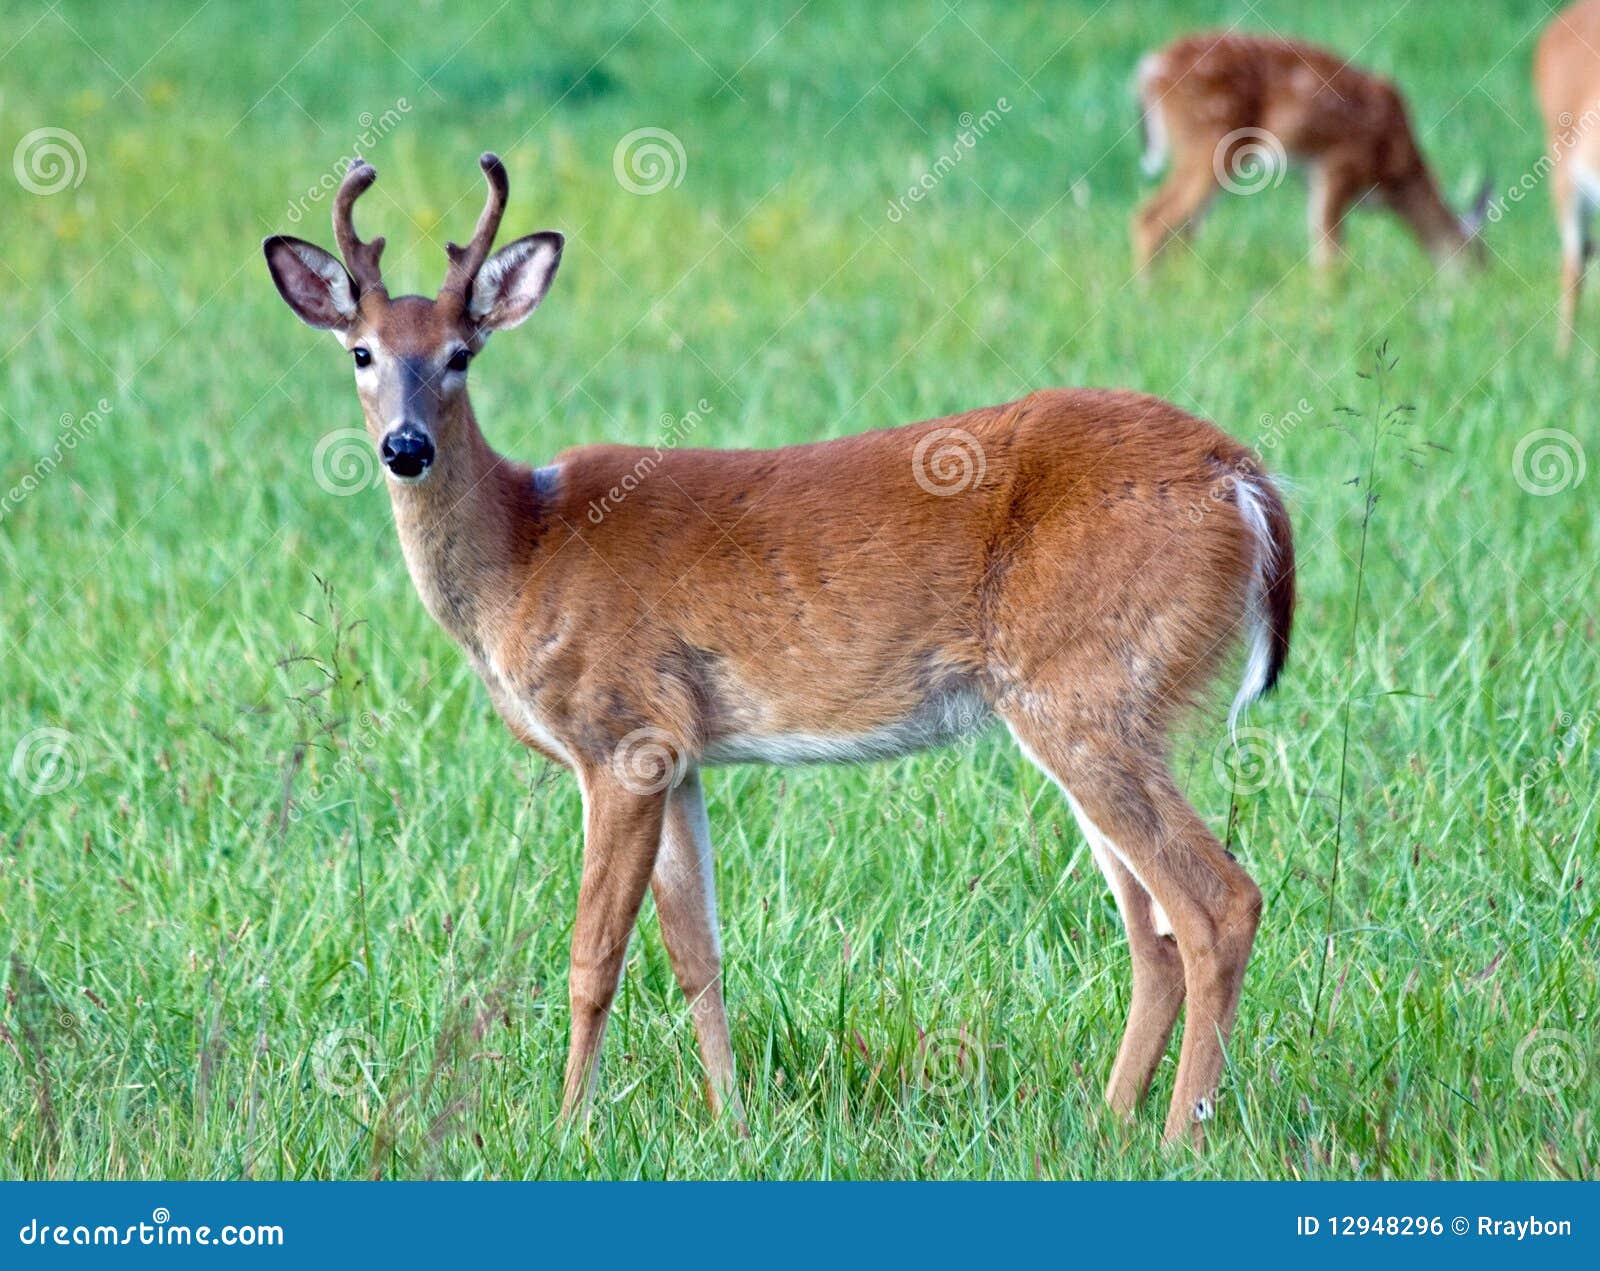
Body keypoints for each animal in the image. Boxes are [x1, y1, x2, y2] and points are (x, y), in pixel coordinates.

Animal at [263, 153, 1296, 1147]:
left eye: (460, 355)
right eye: (361, 351)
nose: (405, 447)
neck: (525, 546)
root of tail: (1247, 482)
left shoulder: (622, 732)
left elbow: (595, 952)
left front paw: (564, 1127)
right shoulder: (679, 753)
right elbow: (697, 951)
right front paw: (731, 1118)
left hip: (1087, 688)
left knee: (1217, 904)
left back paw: (1178, 1138)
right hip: (1088, 706)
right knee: (1155, 934)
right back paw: (1109, 1121)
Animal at [1134, 32, 1490, 272]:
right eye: (1479, 257)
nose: (1480, 293)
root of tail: (1150, 70)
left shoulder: (1312, 177)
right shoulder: (1339, 165)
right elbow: (1331, 253)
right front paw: (1331, 302)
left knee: (1184, 226)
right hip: (1209, 142)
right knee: (1153, 218)